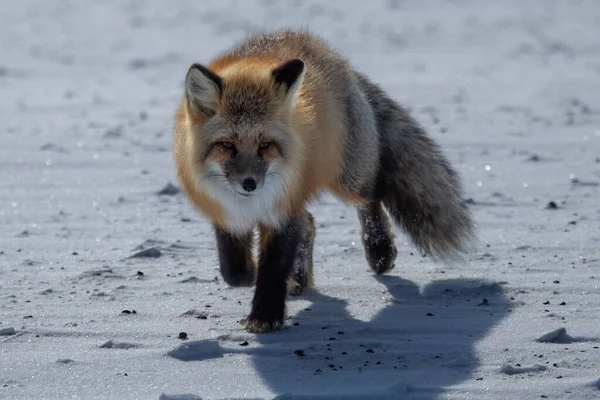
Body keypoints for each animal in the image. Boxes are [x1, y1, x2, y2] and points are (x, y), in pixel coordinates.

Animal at [172, 29, 474, 332]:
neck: (250, 204)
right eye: (227, 145)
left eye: (265, 145)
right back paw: (301, 279)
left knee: (371, 196)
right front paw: (265, 281)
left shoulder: (283, 211)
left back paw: (379, 250)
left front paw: (265, 316)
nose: (250, 184)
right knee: (309, 222)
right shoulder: (226, 214)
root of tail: (329, 54)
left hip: (348, 179)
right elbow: (236, 272)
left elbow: (273, 268)